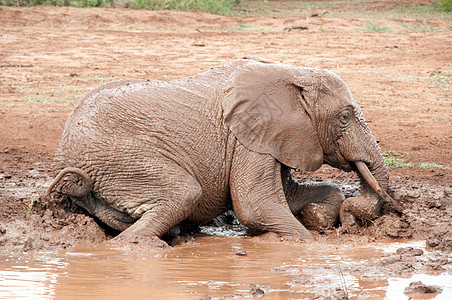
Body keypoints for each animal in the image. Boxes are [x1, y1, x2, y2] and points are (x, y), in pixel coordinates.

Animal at [44, 56, 400, 246]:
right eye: (345, 117)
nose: (347, 226)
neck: (292, 73)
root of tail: (63, 159)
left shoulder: (271, 138)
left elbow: (289, 195)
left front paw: (318, 218)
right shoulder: (247, 138)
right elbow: (255, 206)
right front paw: (308, 244)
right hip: (120, 158)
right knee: (183, 193)